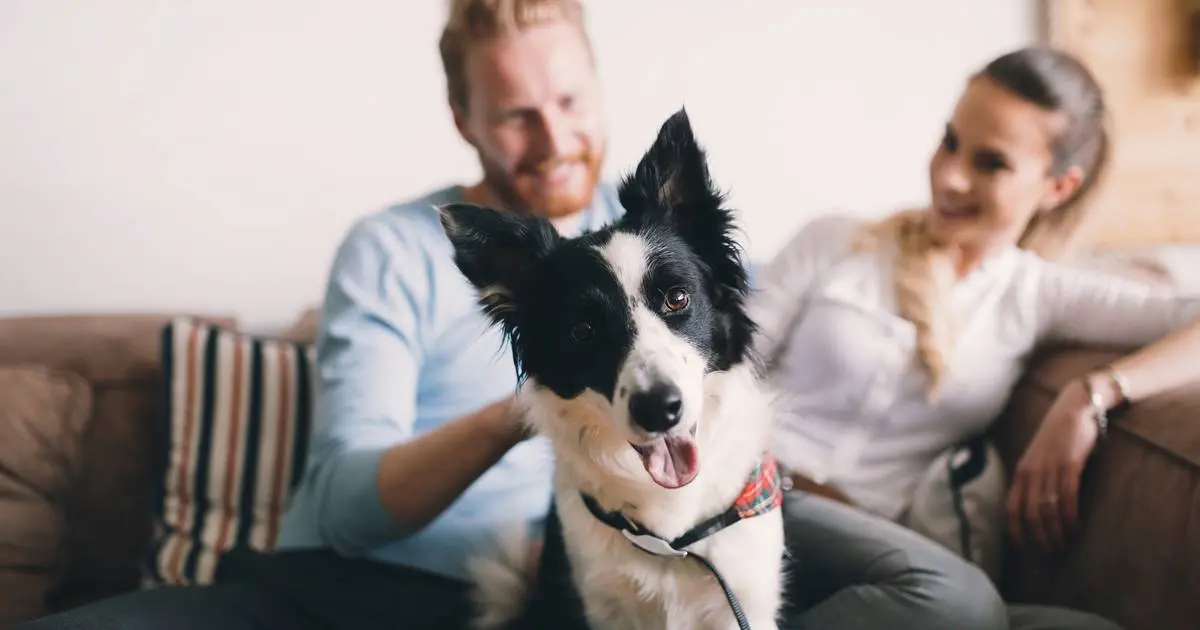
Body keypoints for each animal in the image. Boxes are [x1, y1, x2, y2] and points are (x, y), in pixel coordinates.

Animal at [441, 108, 787, 628]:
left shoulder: (743, 599)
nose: (659, 409)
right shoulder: (599, 601)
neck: (672, 541)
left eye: (677, 298)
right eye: (582, 331)